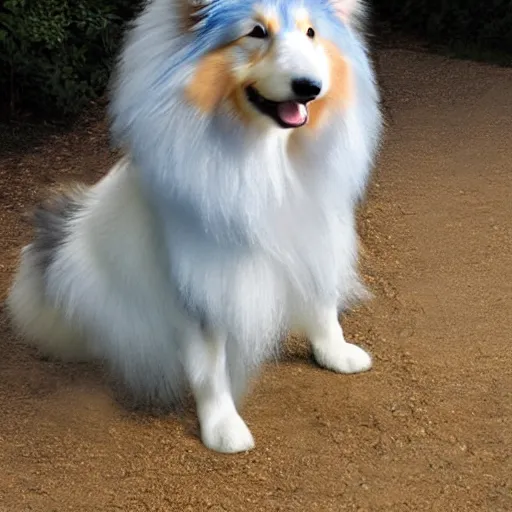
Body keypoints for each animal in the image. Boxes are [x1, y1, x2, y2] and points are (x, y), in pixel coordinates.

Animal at [5, 0, 380, 454]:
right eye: (256, 32)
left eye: (311, 33)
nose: (310, 86)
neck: (268, 160)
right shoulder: (203, 285)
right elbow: (210, 367)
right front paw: (223, 427)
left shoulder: (317, 237)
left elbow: (323, 305)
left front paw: (335, 353)